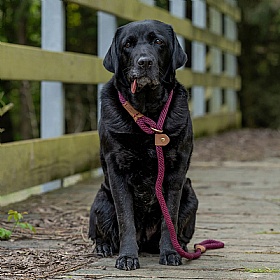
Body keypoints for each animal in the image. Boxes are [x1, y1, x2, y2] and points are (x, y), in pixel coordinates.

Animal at [88, 19, 198, 270]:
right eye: (128, 45)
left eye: (158, 41)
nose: (144, 61)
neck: (147, 113)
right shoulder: (117, 170)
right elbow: (125, 219)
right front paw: (127, 257)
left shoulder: (176, 172)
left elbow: (170, 218)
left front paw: (170, 252)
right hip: (100, 201)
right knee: (100, 233)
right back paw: (104, 247)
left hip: (191, 195)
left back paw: (181, 247)